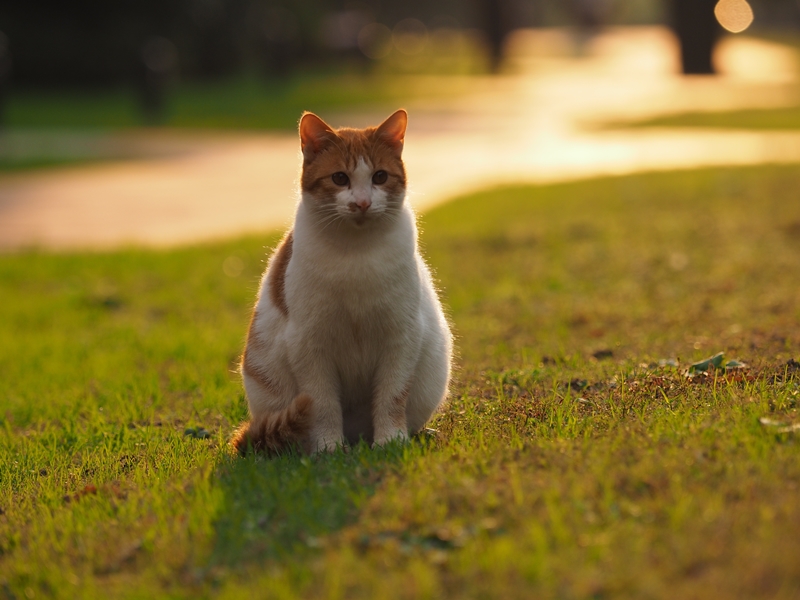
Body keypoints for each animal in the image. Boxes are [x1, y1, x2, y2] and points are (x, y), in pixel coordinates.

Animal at [231, 109, 454, 454]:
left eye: (379, 177)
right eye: (339, 178)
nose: (362, 203)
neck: (355, 255)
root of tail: (357, 434)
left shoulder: (401, 338)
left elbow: (392, 397)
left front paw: (391, 440)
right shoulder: (309, 345)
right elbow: (322, 405)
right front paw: (329, 448)